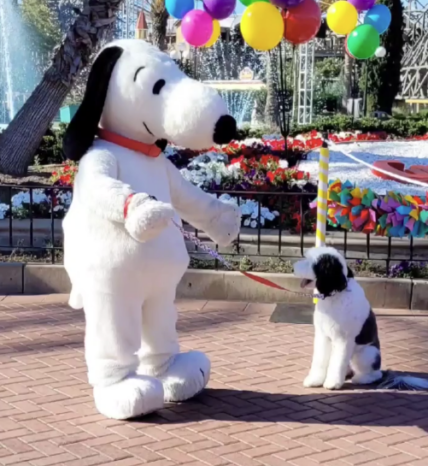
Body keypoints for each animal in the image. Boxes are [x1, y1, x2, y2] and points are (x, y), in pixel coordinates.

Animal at [294, 246, 428, 392]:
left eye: (310, 262)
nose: (293, 266)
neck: (336, 293)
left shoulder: (343, 339)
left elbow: (337, 362)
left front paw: (333, 383)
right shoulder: (323, 336)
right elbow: (319, 359)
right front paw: (315, 380)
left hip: (366, 354)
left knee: (374, 374)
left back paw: (361, 379)